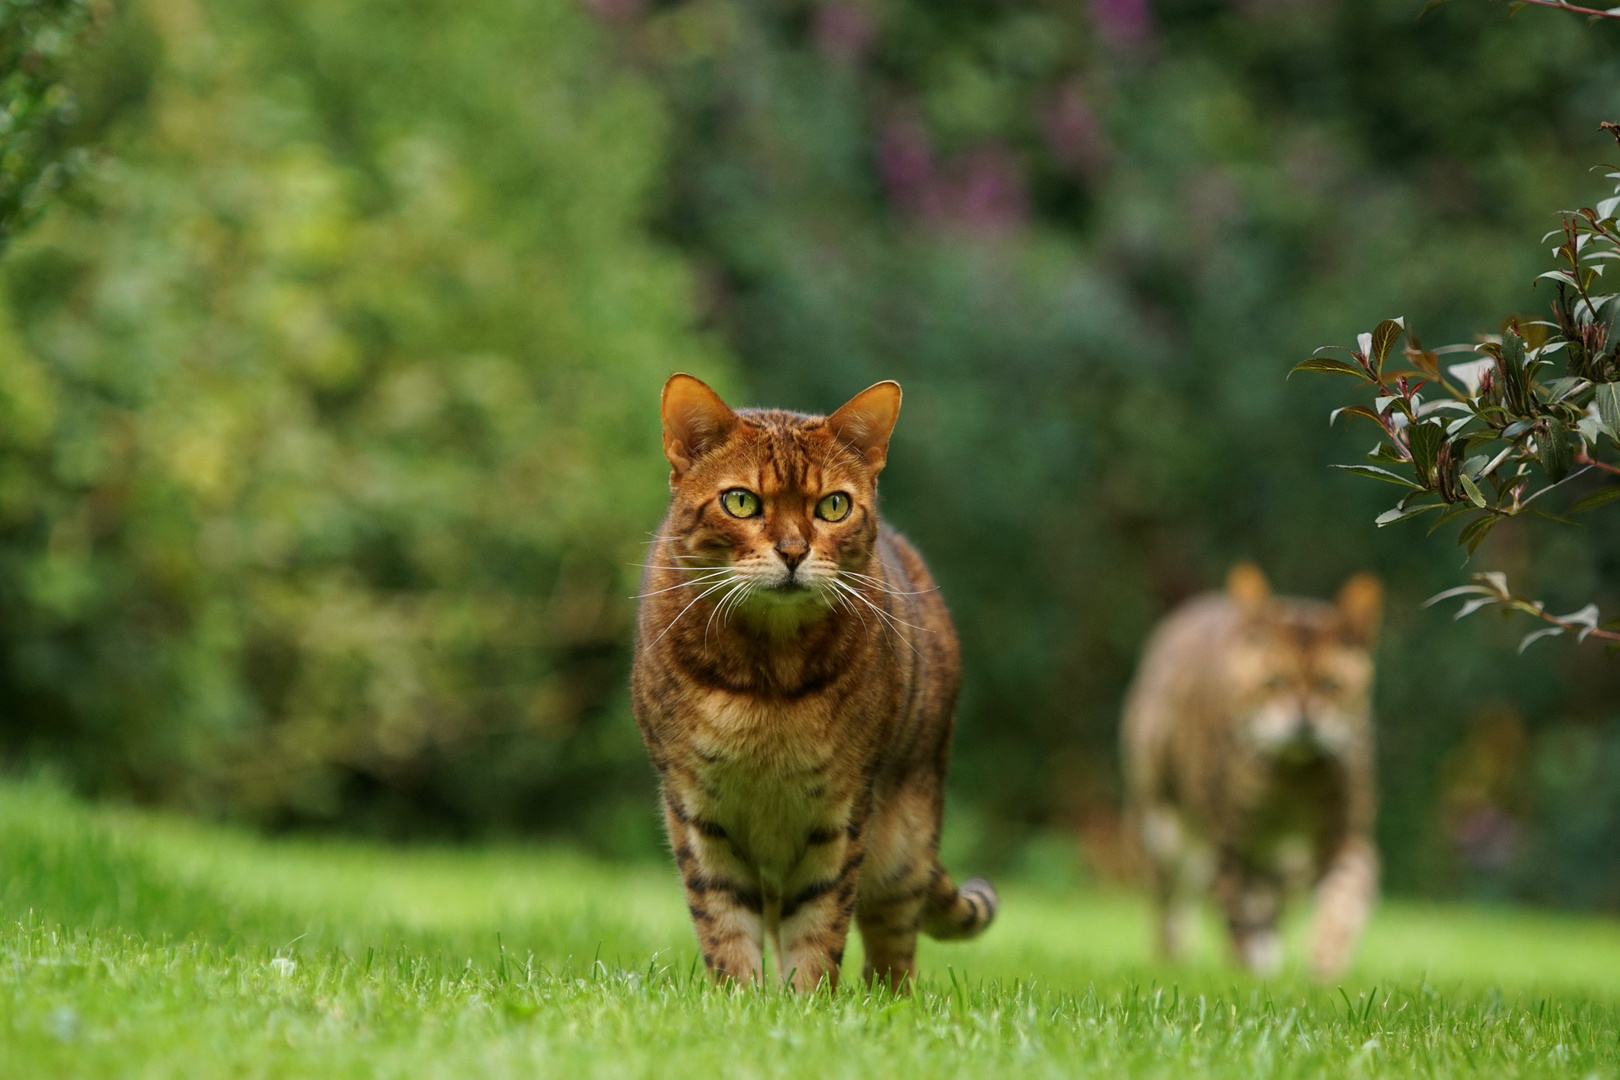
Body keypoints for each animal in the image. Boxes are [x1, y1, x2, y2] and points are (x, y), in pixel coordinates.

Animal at [628, 375, 984, 990]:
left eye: (833, 505)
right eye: (740, 500)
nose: (793, 552)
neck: (767, 680)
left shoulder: (840, 811)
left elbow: (820, 926)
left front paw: (807, 1002)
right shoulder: (697, 811)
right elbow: (723, 922)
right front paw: (740, 998)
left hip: (902, 845)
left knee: (894, 953)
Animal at [1127, 566, 1380, 977]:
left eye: (1331, 685)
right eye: (1274, 681)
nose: (1304, 719)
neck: (1293, 782)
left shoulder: (1346, 834)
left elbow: (1342, 900)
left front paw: (1325, 961)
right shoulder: (1229, 843)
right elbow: (1239, 914)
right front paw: (1254, 970)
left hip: (1287, 864)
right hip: (1160, 829)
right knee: (1171, 905)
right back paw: (1175, 957)